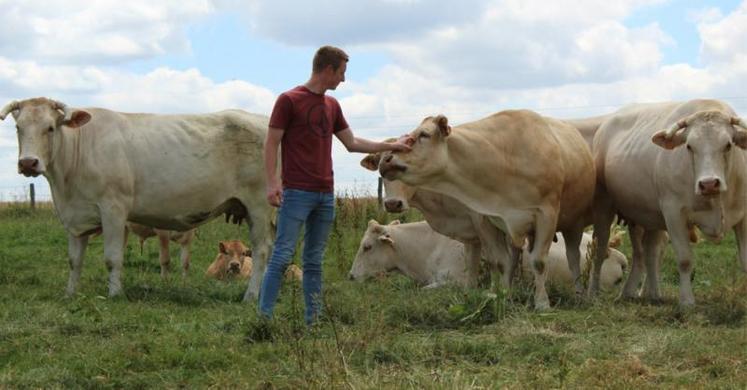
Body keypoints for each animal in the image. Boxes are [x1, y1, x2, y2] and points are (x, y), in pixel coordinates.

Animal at [0, 98, 274, 302]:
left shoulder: (113, 209)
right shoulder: (75, 217)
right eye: (18, 128)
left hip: (259, 206)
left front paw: (114, 294)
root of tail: (262, 120)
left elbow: (112, 258)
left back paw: (251, 296)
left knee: (261, 251)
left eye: (50, 128)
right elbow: (74, 261)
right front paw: (70, 294)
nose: (28, 163)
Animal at [380, 110, 596, 310]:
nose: (386, 160)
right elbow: (500, 262)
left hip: (573, 225)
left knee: (573, 258)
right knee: (514, 257)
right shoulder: (489, 219)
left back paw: (579, 294)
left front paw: (542, 303)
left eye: (423, 134)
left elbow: (539, 262)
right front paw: (504, 296)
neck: (506, 158)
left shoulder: (546, 214)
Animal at [592, 99, 747, 306]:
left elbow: (745, 260)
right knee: (601, 250)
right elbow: (685, 260)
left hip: (646, 218)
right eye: (689, 146)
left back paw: (649, 293)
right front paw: (687, 301)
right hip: (604, 208)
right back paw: (593, 293)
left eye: (728, 145)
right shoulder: (674, 213)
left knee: (647, 253)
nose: (708, 184)